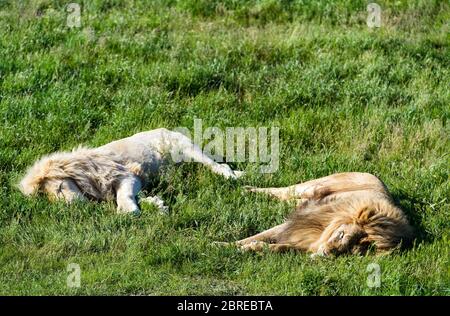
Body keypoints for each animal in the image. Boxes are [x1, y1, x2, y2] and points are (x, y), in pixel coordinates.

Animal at [18, 128, 243, 215]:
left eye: (59, 188)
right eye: (50, 199)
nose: (70, 208)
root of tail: (166, 128)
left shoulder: (126, 175)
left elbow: (124, 197)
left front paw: (128, 212)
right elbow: (139, 197)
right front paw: (157, 205)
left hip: (186, 148)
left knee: (219, 166)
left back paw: (231, 177)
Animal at [220, 173, 414, 256]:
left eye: (350, 251)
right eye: (340, 234)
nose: (326, 254)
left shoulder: (305, 241)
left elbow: (279, 247)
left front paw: (252, 249)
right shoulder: (293, 225)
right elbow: (255, 236)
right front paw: (220, 246)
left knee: (290, 200)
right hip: (312, 186)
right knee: (282, 191)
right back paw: (247, 190)